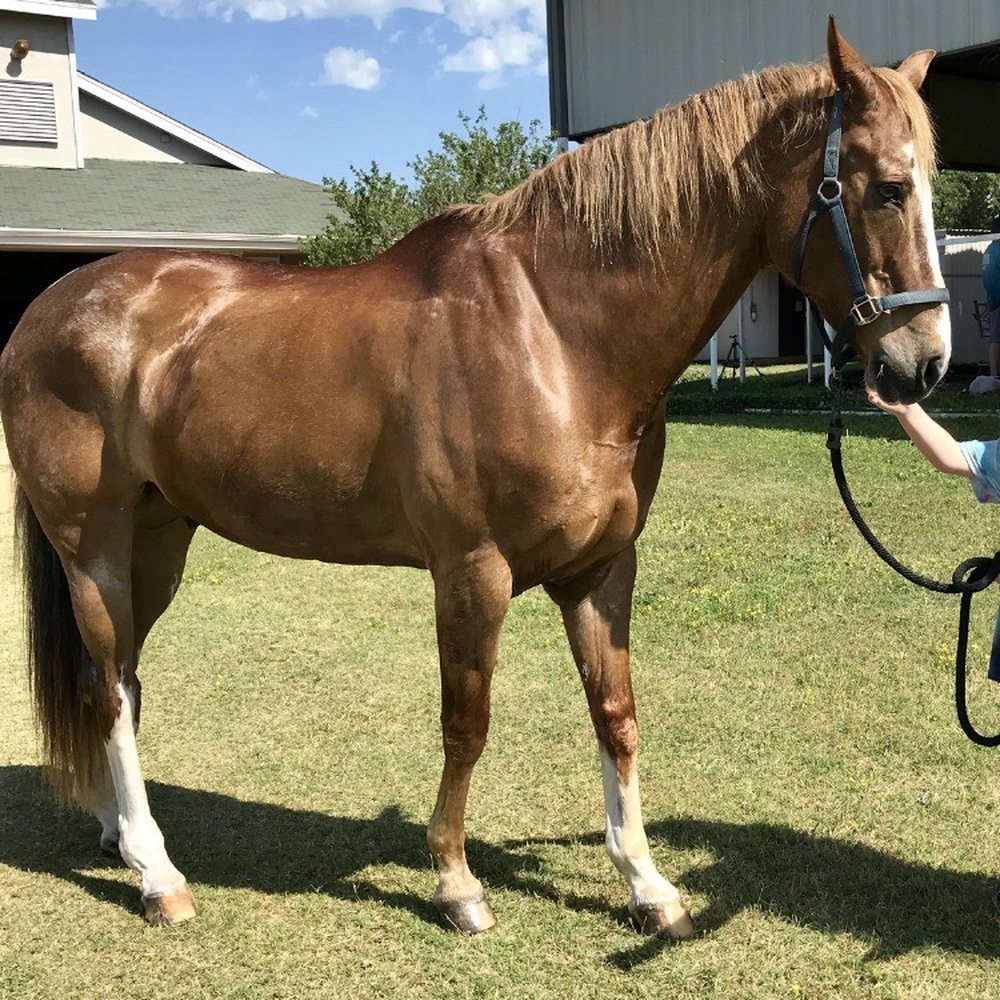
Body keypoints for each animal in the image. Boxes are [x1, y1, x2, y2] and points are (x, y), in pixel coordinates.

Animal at [0, 21, 949, 938]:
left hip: (158, 540)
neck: (554, 333)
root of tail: (45, 312)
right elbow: (468, 724)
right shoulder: (471, 573)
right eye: (885, 189)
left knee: (119, 683)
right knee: (109, 688)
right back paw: (158, 875)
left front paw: (647, 885)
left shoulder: (601, 571)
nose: (924, 364)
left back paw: (121, 836)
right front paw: (457, 884)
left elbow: (616, 715)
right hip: (94, 549)